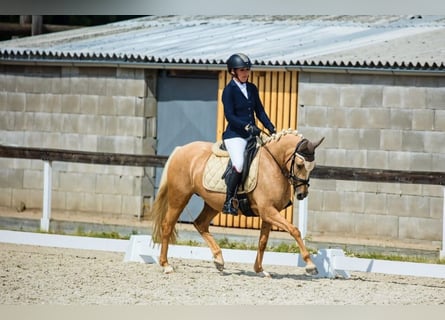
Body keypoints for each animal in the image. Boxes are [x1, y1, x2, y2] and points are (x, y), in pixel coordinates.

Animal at [152, 129, 322, 276]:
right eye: (299, 165)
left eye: (313, 167)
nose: (302, 194)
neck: (273, 164)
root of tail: (180, 149)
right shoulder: (268, 210)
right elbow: (295, 230)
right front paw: (310, 265)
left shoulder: (268, 213)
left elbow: (263, 241)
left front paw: (260, 270)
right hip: (179, 197)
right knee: (167, 226)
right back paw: (166, 265)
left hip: (213, 203)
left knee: (200, 224)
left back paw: (219, 260)